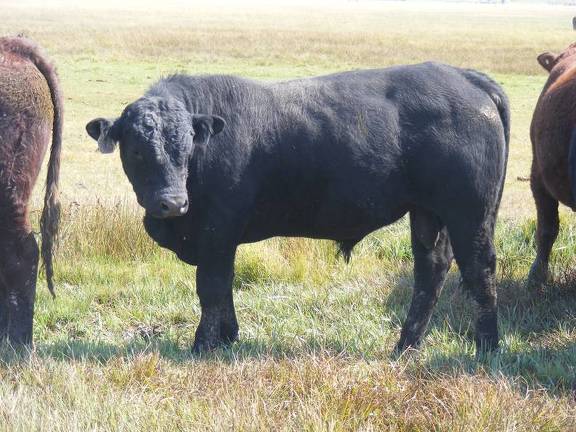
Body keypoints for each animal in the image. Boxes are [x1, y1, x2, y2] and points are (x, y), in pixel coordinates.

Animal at [86, 62, 509, 354]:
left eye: (188, 145)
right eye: (137, 150)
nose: (172, 203)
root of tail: (463, 76)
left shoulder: (217, 233)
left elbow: (211, 287)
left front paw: (203, 345)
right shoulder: (220, 241)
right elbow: (224, 287)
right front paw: (227, 337)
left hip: (469, 215)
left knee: (479, 270)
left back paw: (486, 347)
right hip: (428, 215)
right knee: (430, 271)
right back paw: (405, 347)